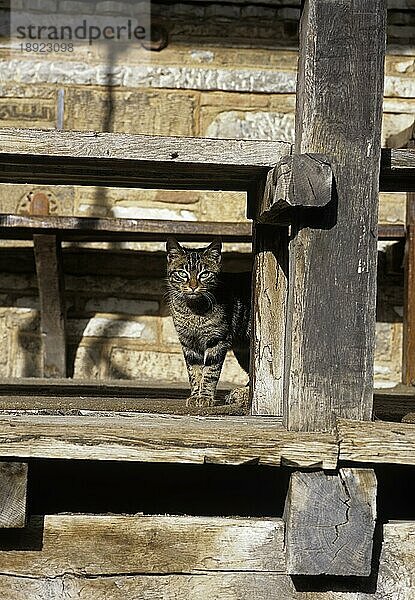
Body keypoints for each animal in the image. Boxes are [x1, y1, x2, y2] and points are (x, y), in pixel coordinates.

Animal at [167, 238, 252, 408]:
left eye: (205, 274)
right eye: (182, 273)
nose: (193, 286)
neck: (193, 311)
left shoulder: (217, 340)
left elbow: (210, 372)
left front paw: (205, 397)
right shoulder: (188, 342)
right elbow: (194, 372)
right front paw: (195, 395)